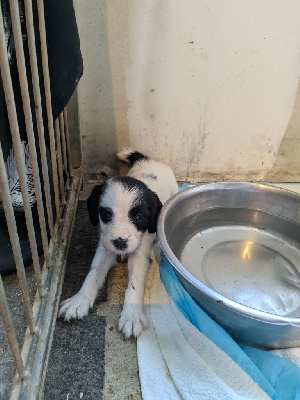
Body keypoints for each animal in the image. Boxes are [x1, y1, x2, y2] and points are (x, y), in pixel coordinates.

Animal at [57, 150, 177, 338]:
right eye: (106, 214)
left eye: (138, 217)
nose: (120, 242)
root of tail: (147, 160)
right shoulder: (105, 249)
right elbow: (94, 273)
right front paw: (80, 300)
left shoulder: (139, 255)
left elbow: (134, 284)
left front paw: (132, 315)